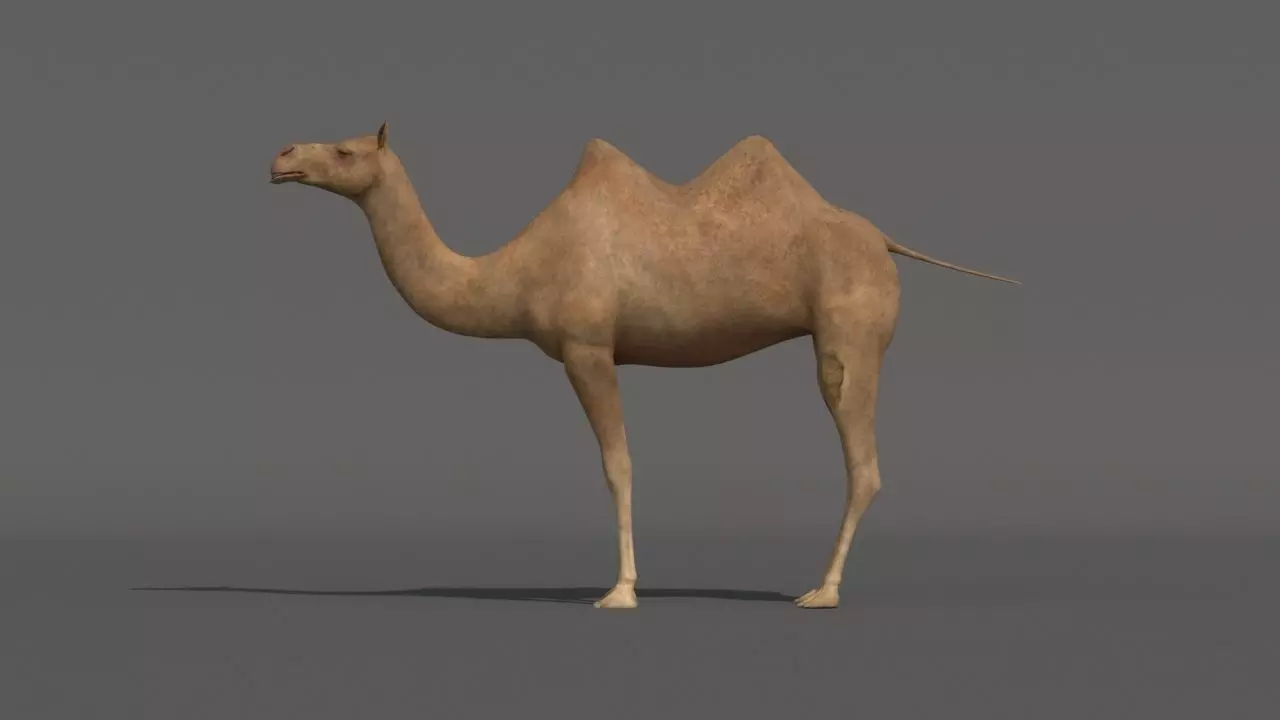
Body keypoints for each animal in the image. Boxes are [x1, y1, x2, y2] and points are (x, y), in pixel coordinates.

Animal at [267, 122, 1019, 610]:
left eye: (345, 148)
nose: (281, 155)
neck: (515, 269)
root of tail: (886, 241)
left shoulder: (587, 348)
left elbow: (617, 464)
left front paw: (621, 591)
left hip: (849, 334)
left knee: (862, 461)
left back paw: (822, 591)